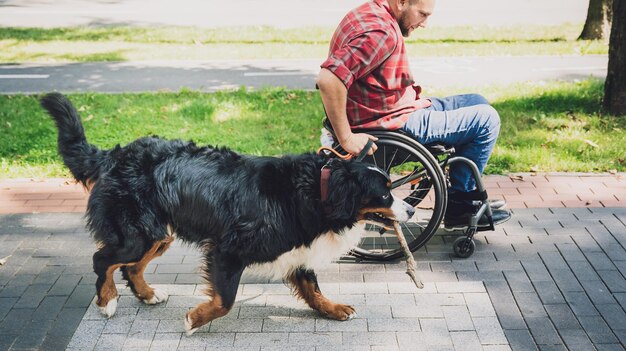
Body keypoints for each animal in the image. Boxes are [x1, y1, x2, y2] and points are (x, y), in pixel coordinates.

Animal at [40, 93, 414, 336]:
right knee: (103, 259)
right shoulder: (228, 249)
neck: (317, 192)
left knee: (131, 267)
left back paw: (148, 294)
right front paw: (194, 320)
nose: (410, 208)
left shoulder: (297, 247)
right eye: (385, 193)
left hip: (159, 233)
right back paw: (107, 301)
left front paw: (333, 309)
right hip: (137, 234)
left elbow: (311, 286)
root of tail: (114, 155)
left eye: (391, 185)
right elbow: (225, 300)